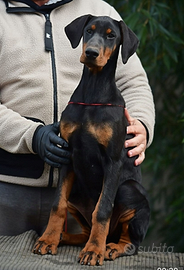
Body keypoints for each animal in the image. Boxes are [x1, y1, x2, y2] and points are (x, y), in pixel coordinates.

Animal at [33, 14, 151, 266]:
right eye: (89, 30)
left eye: (111, 35)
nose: (91, 53)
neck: (93, 93)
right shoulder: (67, 155)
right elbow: (57, 204)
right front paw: (48, 239)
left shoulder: (113, 161)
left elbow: (103, 209)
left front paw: (94, 250)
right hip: (77, 190)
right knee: (84, 231)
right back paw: (64, 237)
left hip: (128, 189)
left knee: (132, 243)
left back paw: (110, 247)